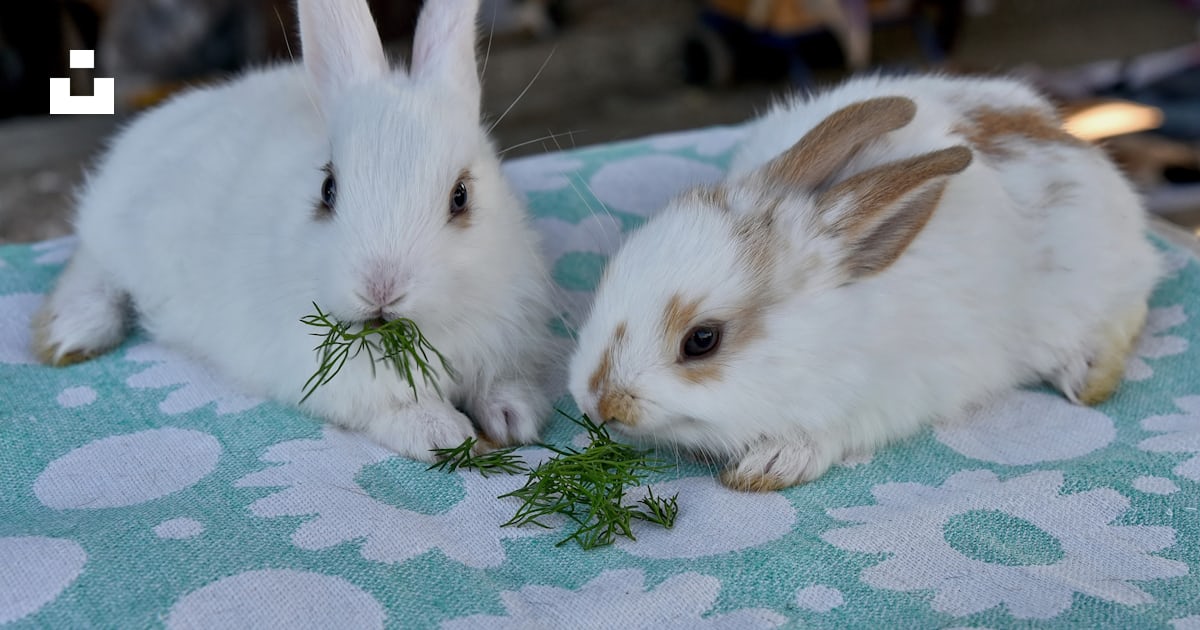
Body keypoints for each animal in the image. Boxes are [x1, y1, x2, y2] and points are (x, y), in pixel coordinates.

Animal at [32, 0, 556, 461]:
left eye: (461, 196)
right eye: (327, 189)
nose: (380, 288)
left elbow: (501, 381)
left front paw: (514, 417)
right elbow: (392, 405)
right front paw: (442, 432)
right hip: (120, 229)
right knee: (91, 264)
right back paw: (70, 334)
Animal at [568, 74, 1163, 491]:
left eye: (702, 341)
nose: (599, 404)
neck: (832, 333)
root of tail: (1073, 141)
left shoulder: (894, 395)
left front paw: (771, 464)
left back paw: (1087, 375)